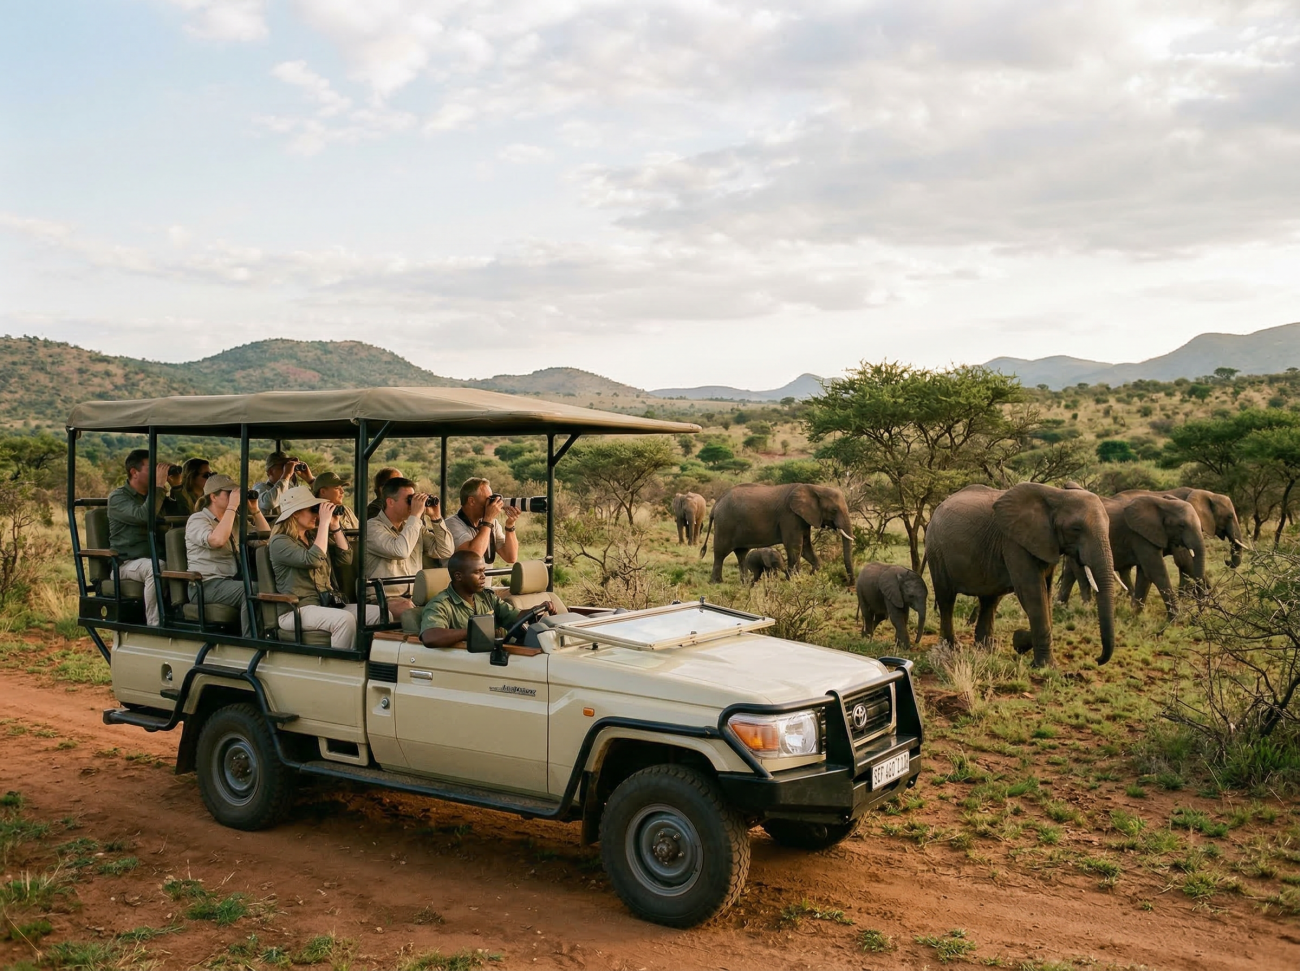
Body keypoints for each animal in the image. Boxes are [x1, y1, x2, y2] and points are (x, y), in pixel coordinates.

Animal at [701, 483, 855, 584]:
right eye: (834, 510)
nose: (850, 584)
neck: (814, 487)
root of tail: (717, 503)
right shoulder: (790, 516)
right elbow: (795, 546)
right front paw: (793, 579)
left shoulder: (802, 518)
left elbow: (805, 547)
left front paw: (810, 575)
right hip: (725, 524)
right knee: (721, 553)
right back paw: (717, 582)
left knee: (741, 553)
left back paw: (744, 583)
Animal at [926, 482, 1116, 668]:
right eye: (1076, 529)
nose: (1098, 660)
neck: (1056, 495)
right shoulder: (1014, 542)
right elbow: (1032, 593)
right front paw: (1044, 665)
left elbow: (1046, 594)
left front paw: (1020, 640)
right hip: (936, 550)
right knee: (946, 598)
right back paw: (951, 648)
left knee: (990, 600)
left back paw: (986, 649)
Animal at [1057, 493, 1204, 619]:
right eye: (1182, 525)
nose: (1196, 617)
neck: (1163, 504)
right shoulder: (1139, 536)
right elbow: (1156, 572)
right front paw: (1174, 619)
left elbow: (1145, 574)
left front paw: (1134, 615)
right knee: (1081, 574)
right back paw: (1085, 609)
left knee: (1070, 572)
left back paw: (1060, 606)